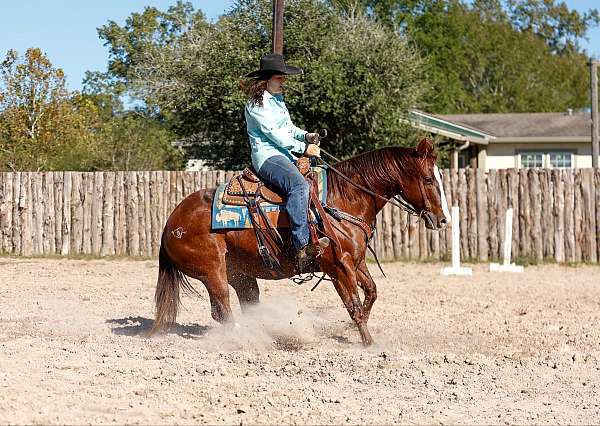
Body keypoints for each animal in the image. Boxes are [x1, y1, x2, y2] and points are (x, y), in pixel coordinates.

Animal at [152, 140, 448, 346]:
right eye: (428, 178)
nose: (442, 219)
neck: (344, 198)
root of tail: (169, 223)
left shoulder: (356, 261)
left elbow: (371, 293)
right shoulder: (338, 267)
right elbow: (353, 304)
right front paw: (369, 343)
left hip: (240, 275)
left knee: (242, 304)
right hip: (213, 272)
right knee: (223, 309)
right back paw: (245, 340)